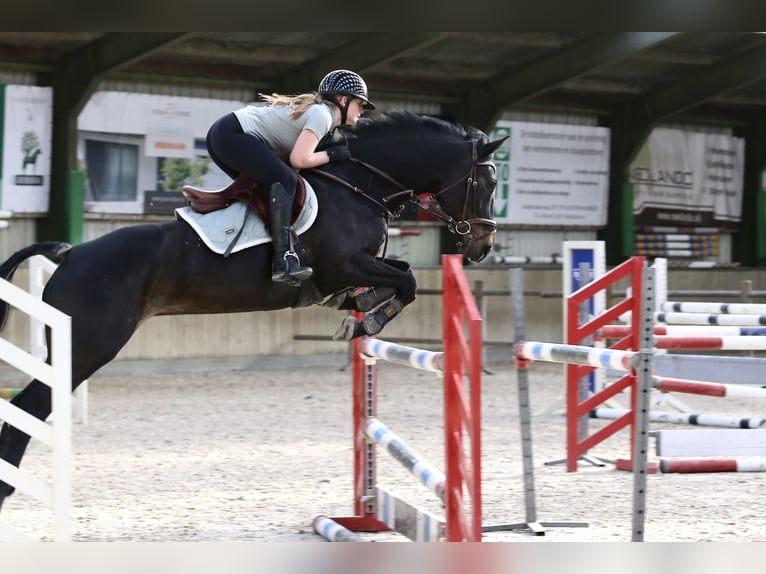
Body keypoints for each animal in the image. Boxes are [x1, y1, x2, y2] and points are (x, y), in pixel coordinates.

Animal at [0, 110, 508, 510]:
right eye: (488, 180)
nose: (482, 246)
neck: (359, 185)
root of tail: (69, 253)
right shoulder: (343, 264)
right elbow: (407, 281)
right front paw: (370, 317)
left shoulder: (352, 270)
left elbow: (398, 274)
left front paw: (361, 310)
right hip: (90, 346)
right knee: (31, 405)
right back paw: (7, 488)